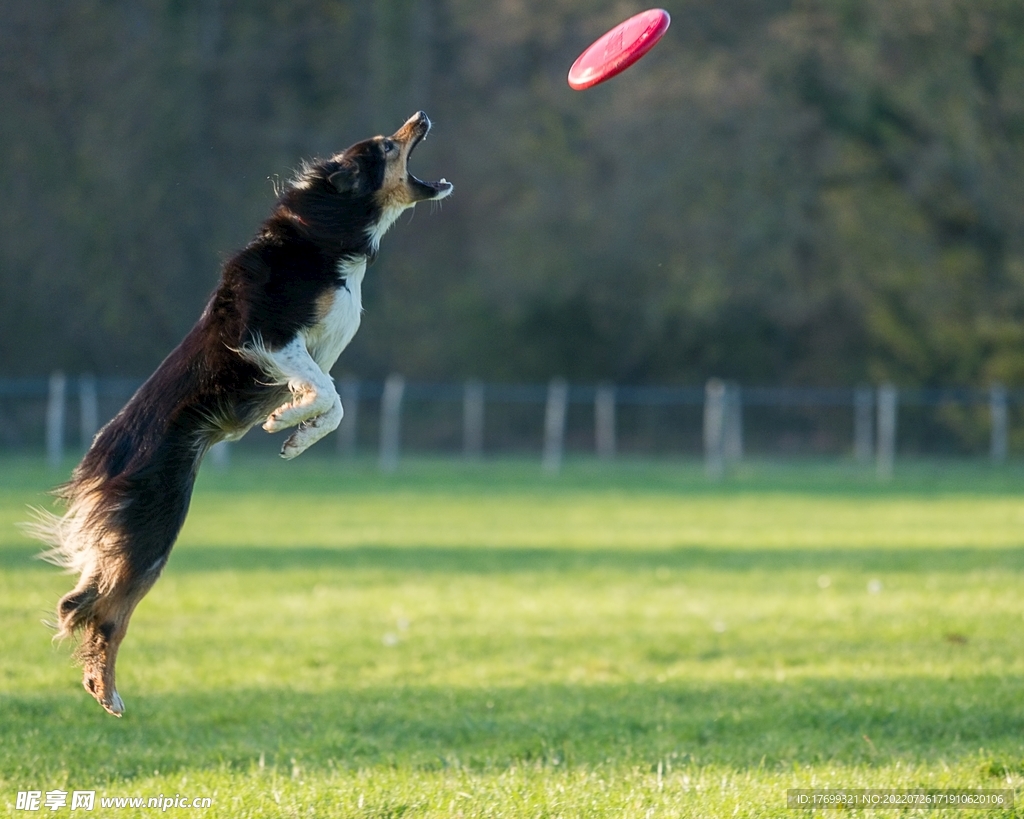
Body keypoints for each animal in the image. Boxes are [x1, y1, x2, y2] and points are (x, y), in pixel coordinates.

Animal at [27, 112, 452, 712]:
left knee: (90, 602)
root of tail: (102, 453)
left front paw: (296, 433)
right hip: (153, 528)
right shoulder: (270, 338)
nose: (421, 117)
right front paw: (286, 421)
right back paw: (105, 689)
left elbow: (336, 407)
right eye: (386, 147)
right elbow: (330, 394)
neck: (326, 233)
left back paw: (100, 686)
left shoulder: (304, 351)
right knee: (98, 609)